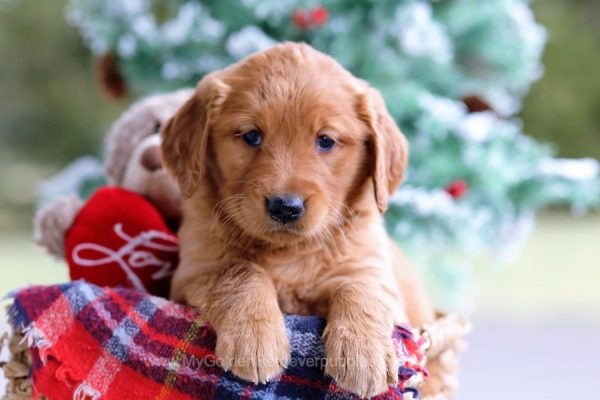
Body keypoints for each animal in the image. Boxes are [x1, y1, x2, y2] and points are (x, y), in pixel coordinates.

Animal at [162, 42, 434, 398]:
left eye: (326, 140)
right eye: (251, 136)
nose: (285, 207)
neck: (289, 253)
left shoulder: (375, 275)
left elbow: (360, 286)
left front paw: (364, 354)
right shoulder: (191, 275)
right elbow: (240, 270)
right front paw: (256, 339)